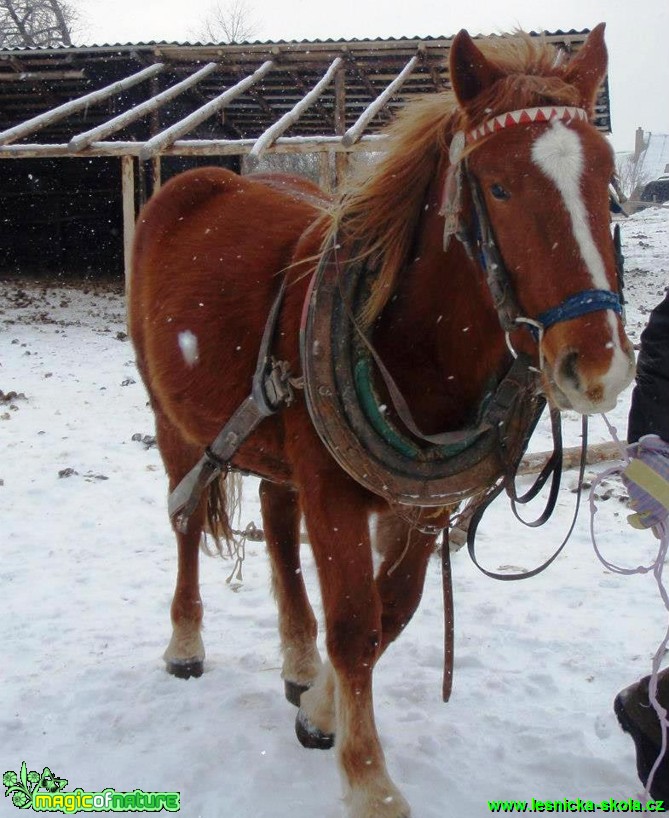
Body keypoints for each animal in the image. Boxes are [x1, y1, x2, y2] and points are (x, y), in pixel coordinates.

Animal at [128, 25, 636, 816]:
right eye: (498, 186)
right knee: (184, 520)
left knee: (276, 524)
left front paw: (320, 710)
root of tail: (195, 182)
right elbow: (354, 625)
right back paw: (185, 644)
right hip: (173, 419)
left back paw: (297, 660)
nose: (599, 364)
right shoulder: (335, 492)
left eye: (605, 179)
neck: (413, 341)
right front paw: (368, 779)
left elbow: (391, 611)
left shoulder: (424, 502)